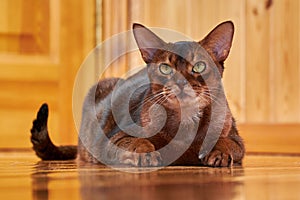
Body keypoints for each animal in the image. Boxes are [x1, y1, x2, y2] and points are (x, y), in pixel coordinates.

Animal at [30, 21, 245, 167]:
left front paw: (219, 153)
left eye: (199, 66)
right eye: (165, 68)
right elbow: (135, 141)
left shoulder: (237, 140)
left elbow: (227, 142)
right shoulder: (114, 137)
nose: (181, 83)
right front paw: (144, 153)